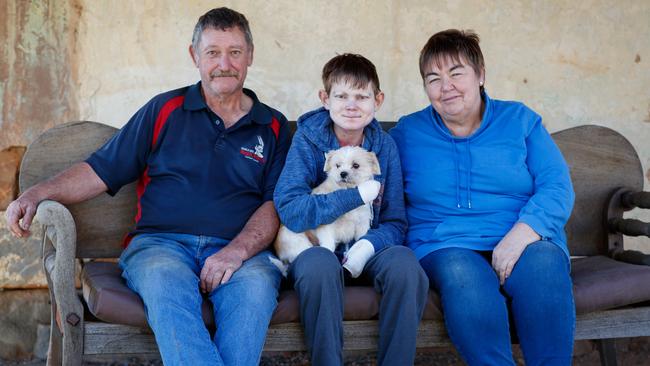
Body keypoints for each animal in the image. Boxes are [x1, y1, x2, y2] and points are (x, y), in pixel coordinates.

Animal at [270, 146, 380, 274]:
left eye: (356, 165)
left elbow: (360, 238)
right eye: (338, 165)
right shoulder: (326, 226)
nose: (343, 173)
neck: (345, 190)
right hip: (298, 242)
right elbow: (328, 245)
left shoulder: (362, 224)